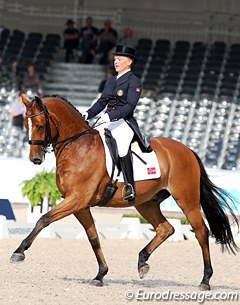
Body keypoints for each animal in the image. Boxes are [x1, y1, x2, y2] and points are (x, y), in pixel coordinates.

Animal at [10, 94, 239, 288]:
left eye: (40, 125)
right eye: (25, 125)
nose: (35, 159)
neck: (78, 146)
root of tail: (187, 150)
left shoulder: (77, 199)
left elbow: (44, 219)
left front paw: (19, 252)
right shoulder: (79, 205)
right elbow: (93, 237)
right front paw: (100, 274)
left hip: (187, 200)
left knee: (201, 232)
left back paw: (205, 280)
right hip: (145, 203)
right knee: (165, 229)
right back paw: (142, 262)